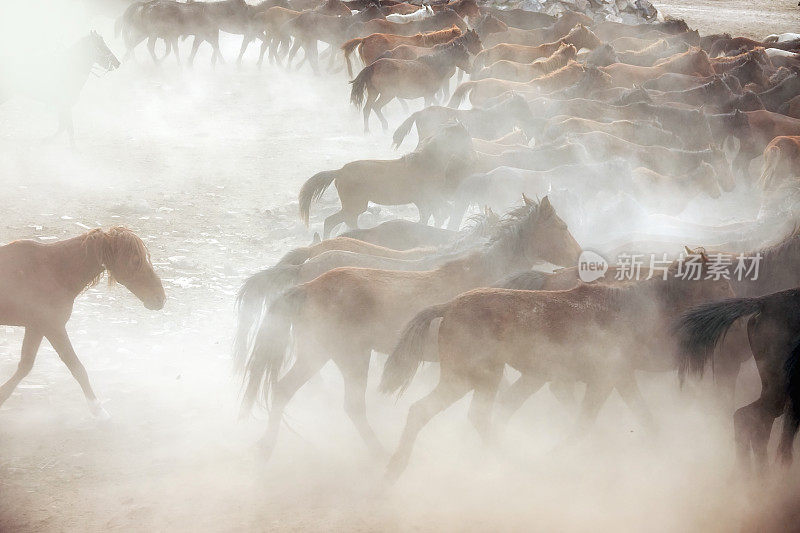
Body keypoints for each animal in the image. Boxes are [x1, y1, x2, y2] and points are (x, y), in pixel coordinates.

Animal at [0, 229, 165, 420]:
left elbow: (25, 366)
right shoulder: (53, 327)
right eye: (136, 260)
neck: (54, 271)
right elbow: (77, 368)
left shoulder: (37, 327)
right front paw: (98, 410)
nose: (160, 298)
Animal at [238, 197, 580, 460]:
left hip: (318, 352)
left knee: (283, 389)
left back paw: (266, 448)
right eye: (562, 227)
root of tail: (307, 282)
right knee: (350, 405)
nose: (580, 258)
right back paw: (379, 452)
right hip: (348, 356)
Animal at [382, 256, 736, 480]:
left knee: (440, 413)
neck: (627, 310)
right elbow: (584, 424)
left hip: (474, 379)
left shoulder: (620, 378)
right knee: (463, 415)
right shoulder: (603, 381)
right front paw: (559, 457)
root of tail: (450, 305)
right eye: (720, 285)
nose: (731, 307)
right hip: (473, 377)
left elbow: (644, 418)